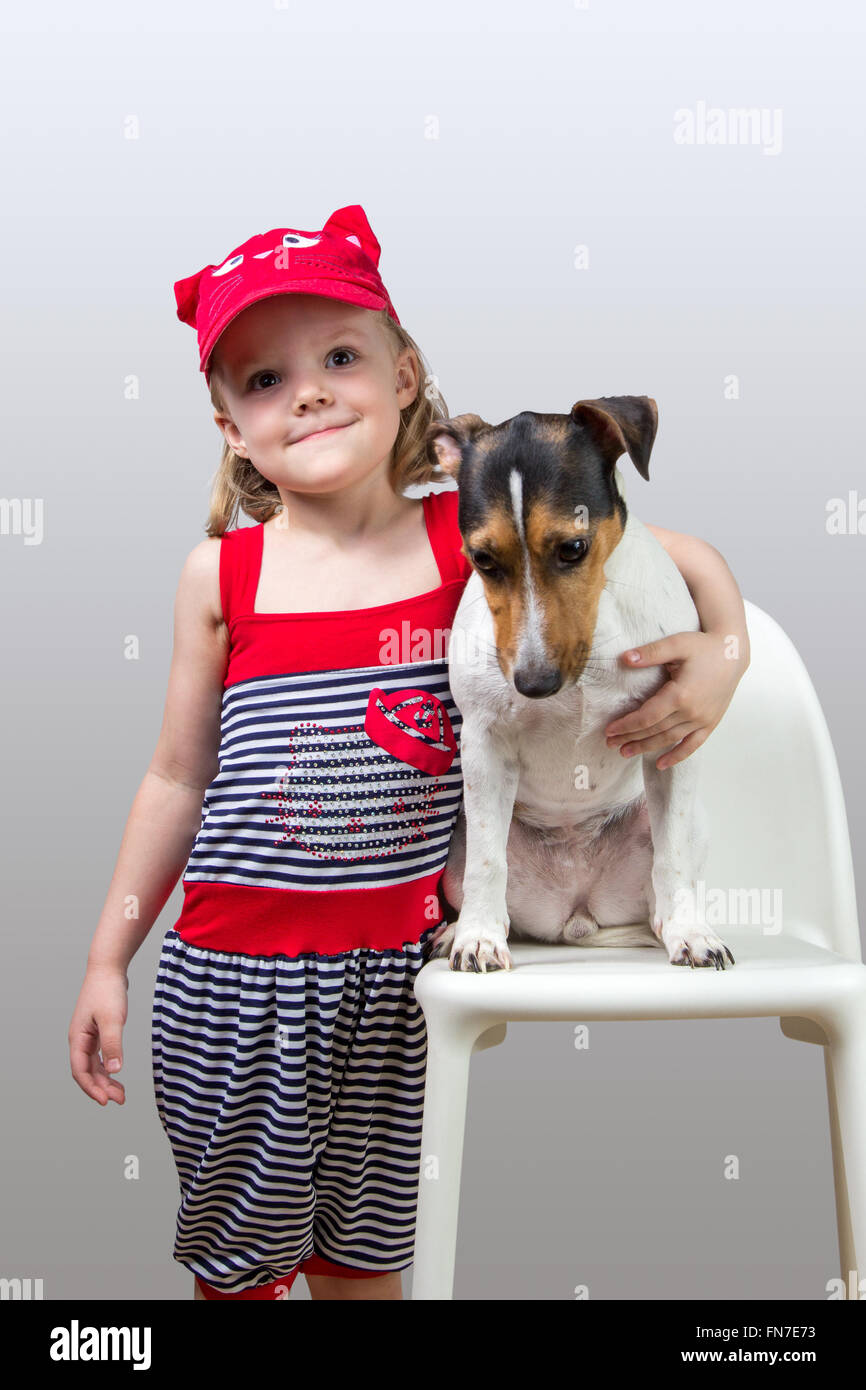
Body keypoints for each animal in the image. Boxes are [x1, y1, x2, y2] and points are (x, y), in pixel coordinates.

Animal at [422, 397, 733, 973]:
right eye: (482, 559)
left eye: (573, 548)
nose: (533, 682)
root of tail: (576, 909)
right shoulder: (484, 744)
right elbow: (487, 864)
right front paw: (478, 939)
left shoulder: (671, 741)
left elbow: (673, 858)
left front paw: (692, 934)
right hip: (460, 836)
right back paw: (459, 931)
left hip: (682, 825)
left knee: (662, 891)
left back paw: (672, 926)